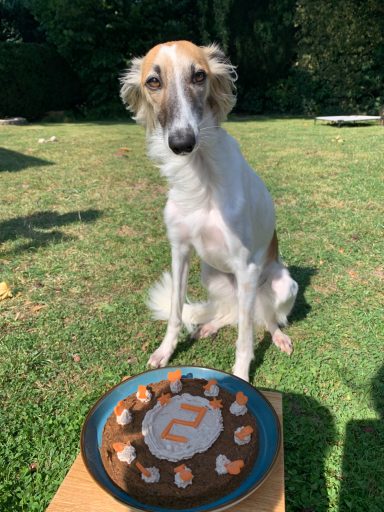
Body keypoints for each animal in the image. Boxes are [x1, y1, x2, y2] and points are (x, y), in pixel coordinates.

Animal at [121, 42, 298, 382]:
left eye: (199, 76)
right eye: (153, 82)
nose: (182, 143)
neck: (199, 176)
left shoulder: (246, 268)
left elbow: (245, 340)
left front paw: (241, 377)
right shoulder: (179, 251)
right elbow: (176, 312)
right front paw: (165, 351)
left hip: (280, 286)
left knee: (265, 320)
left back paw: (278, 336)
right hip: (212, 276)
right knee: (232, 314)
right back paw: (209, 326)